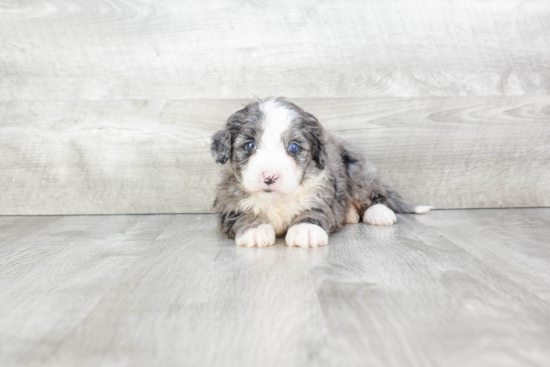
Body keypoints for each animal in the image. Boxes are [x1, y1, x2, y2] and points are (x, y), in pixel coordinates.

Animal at [211, 96, 436, 249]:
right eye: (250, 145)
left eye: (293, 147)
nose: (270, 176)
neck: (276, 200)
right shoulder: (227, 199)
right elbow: (239, 215)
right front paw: (255, 230)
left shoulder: (322, 192)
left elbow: (315, 211)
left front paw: (306, 229)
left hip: (359, 170)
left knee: (374, 196)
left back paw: (378, 212)